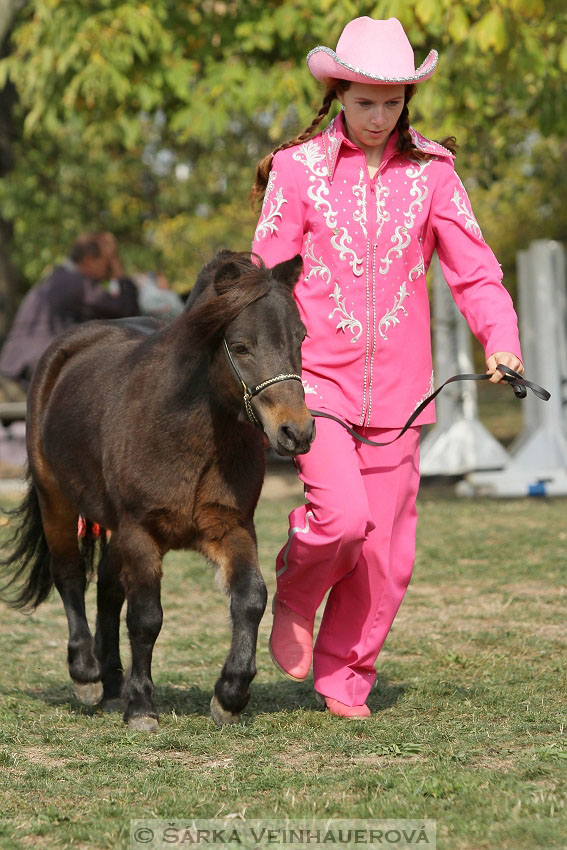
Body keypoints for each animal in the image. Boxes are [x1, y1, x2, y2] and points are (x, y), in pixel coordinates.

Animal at [1, 252, 316, 728]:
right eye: (241, 345)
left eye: (300, 337)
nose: (296, 432)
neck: (188, 433)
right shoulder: (140, 530)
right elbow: (146, 617)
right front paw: (142, 706)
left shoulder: (232, 527)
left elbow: (251, 599)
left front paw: (229, 695)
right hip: (55, 497)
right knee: (70, 574)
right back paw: (88, 674)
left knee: (108, 588)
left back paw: (112, 682)